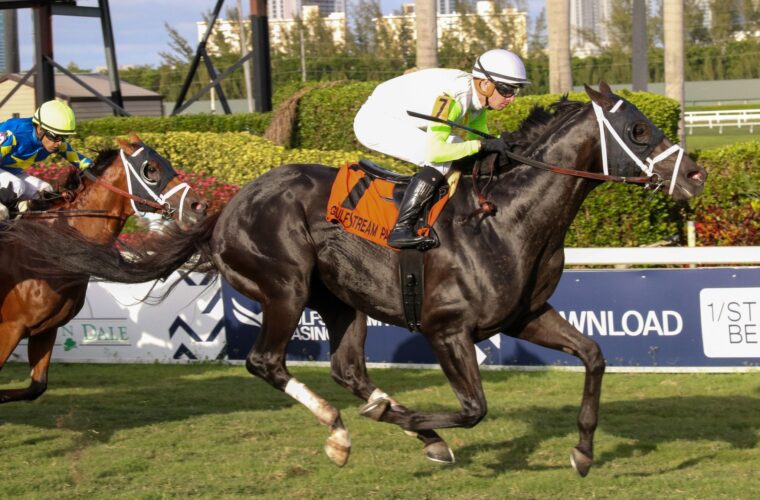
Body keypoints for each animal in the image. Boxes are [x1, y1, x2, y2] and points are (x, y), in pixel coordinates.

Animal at [0, 133, 207, 405]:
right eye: (150, 169)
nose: (198, 206)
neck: (46, 249)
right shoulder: (10, 328)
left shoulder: (45, 329)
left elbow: (36, 386)